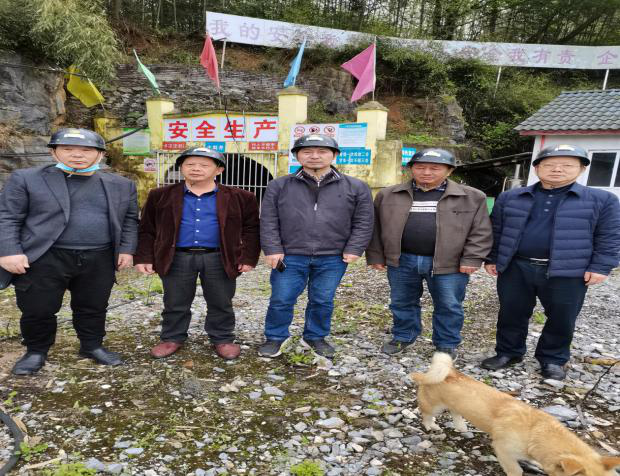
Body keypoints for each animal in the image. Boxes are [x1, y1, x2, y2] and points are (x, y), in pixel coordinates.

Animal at [410, 352, 620, 476]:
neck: (536, 431)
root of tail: (449, 372)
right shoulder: (503, 450)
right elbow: (515, 470)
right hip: (434, 405)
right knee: (426, 413)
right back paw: (431, 425)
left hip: (456, 404)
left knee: (455, 411)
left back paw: (461, 427)